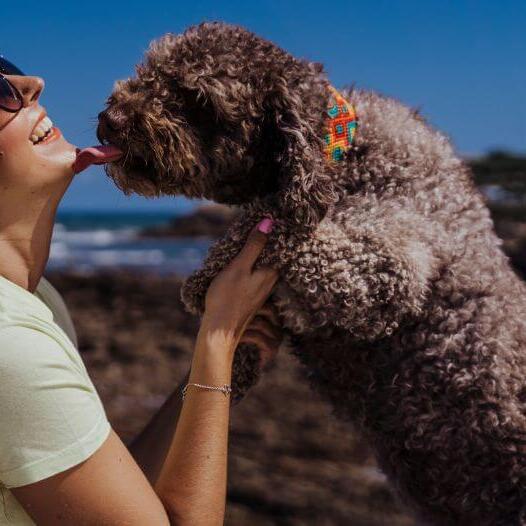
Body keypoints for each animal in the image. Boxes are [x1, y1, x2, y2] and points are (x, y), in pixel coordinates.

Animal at [97, 20, 526, 526]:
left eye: (198, 99)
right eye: (151, 70)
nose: (110, 118)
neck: (344, 150)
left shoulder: (387, 269)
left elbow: (284, 222)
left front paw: (207, 274)